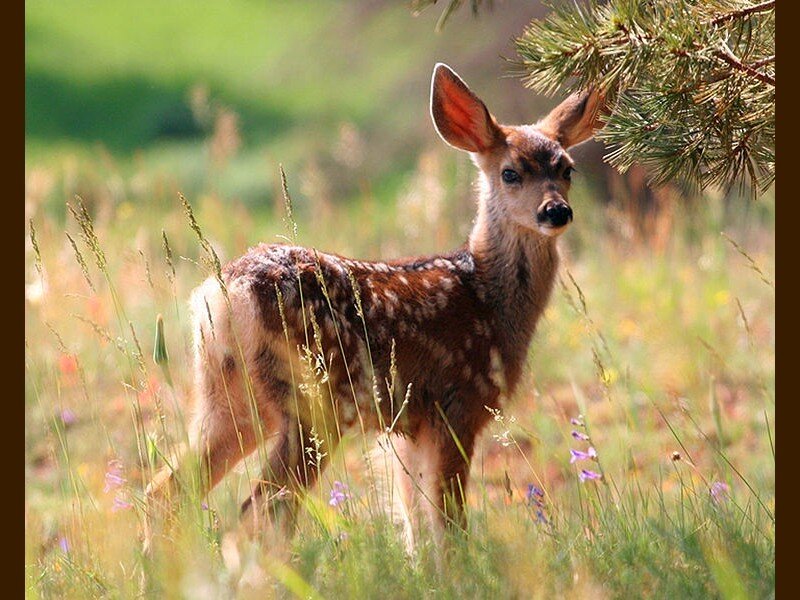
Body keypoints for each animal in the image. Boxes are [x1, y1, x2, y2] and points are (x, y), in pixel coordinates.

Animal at [144, 63, 602, 550]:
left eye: (567, 169)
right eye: (511, 173)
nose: (556, 211)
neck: (486, 297)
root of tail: (224, 293)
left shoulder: (408, 426)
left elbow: (415, 522)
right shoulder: (456, 405)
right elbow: (448, 523)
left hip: (227, 399)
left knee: (168, 490)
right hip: (312, 402)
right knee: (262, 510)